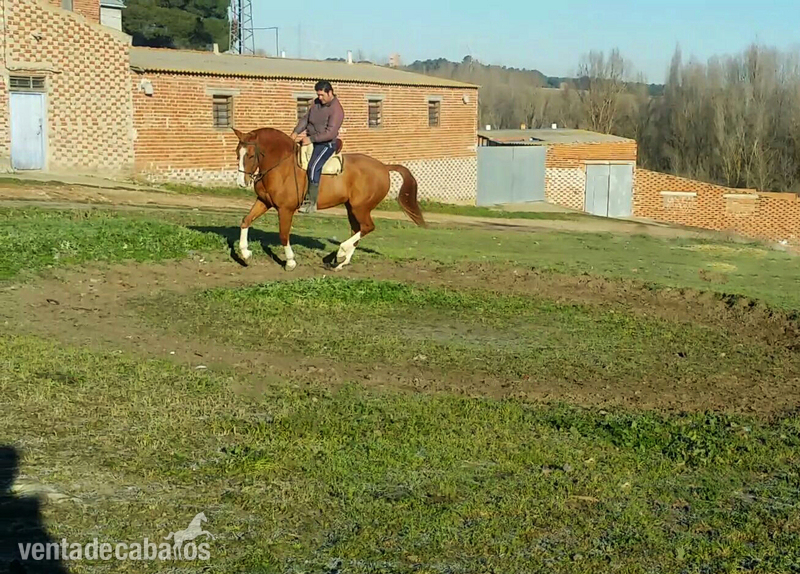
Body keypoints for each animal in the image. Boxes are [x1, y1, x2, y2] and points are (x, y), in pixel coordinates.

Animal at [232, 127, 427, 271]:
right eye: (237, 153)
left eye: (250, 155)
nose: (241, 182)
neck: (281, 165)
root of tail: (384, 167)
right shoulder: (264, 202)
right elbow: (245, 220)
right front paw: (245, 254)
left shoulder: (285, 209)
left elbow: (283, 235)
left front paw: (290, 262)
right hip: (351, 208)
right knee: (357, 230)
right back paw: (341, 262)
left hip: (361, 208)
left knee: (367, 227)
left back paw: (341, 253)